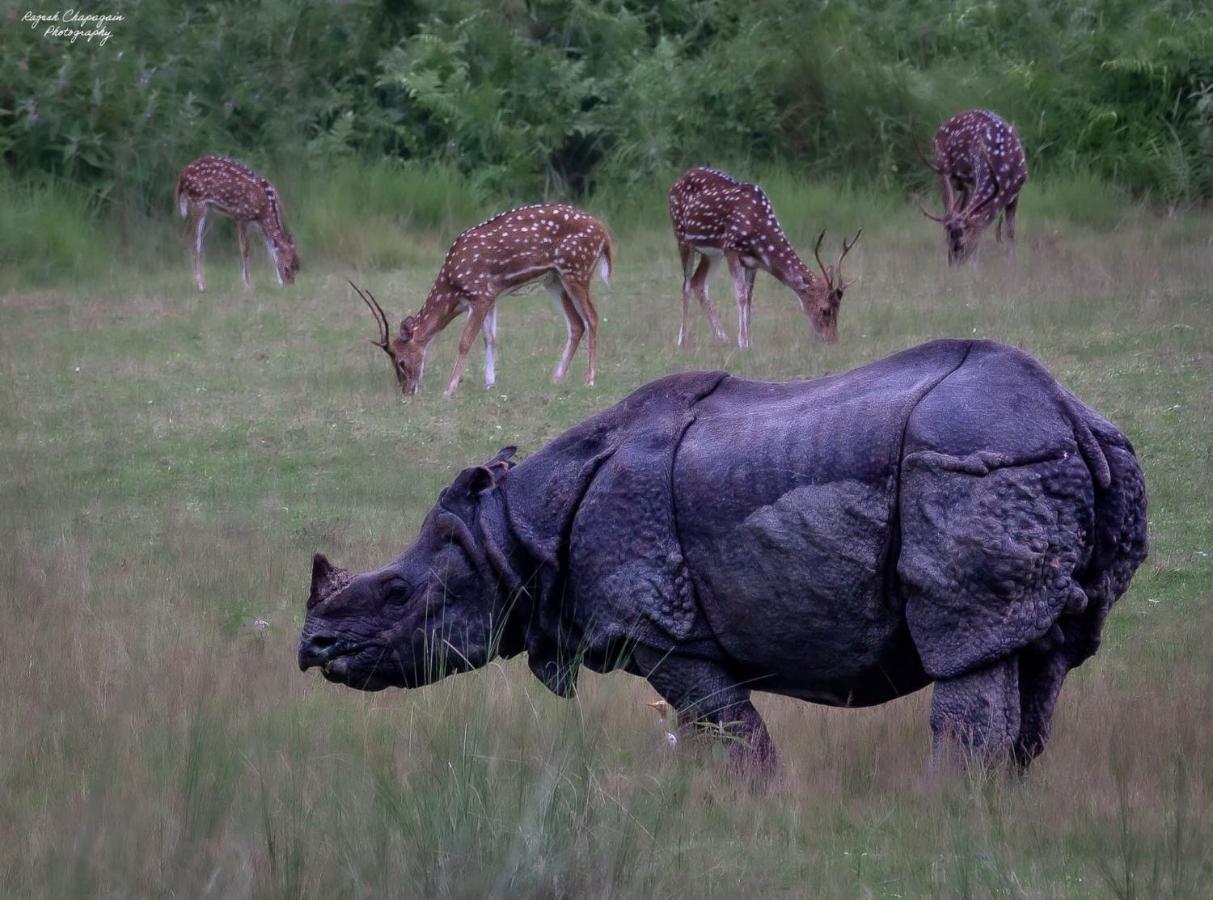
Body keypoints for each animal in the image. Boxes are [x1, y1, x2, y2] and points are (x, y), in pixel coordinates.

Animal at [175, 156, 298, 292]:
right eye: (286, 268)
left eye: (297, 266)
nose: (290, 286)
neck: (264, 208)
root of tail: (182, 174)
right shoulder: (241, 215)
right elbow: (245, 249)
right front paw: (248, 285)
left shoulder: (260, 224)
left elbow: (271, 250)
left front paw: (279, 283)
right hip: (198, 201)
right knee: (194, 240)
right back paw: (200, 285)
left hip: (210, 208)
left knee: (199, 239)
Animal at [351, 207, 616, 402]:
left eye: (401, 361)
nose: (407, 391)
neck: (453, 289)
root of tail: (604, 233)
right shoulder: (492, 295)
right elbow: (490, 338)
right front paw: (490, 384)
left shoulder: (480, 294)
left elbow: (465, 341)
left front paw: (449, 389)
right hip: (553, 279)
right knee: (576, 323)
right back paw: (556, 378)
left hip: (576, 269)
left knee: (592, 317)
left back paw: (590, 379)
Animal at [669, 167, 858, 351]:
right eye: (824, 310)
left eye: (839, 309)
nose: (832, 340)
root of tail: (676, 181)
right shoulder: (730, 248)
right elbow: (741, 295)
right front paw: (742, 343)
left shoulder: (752, 263)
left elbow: (749, 296)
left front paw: (749, 342)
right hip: (682, 237)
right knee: (686, 285)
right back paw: (681, 340)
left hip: (711, 253)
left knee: (698, 283)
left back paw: (723, 338)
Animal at [912, 110, 1028, 264]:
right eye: (949, 239)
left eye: (962, 242)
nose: (952, 263)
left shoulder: (1016, 192)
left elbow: (1010, 233)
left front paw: (1012, 267)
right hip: (944, 172)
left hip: (964, 184)